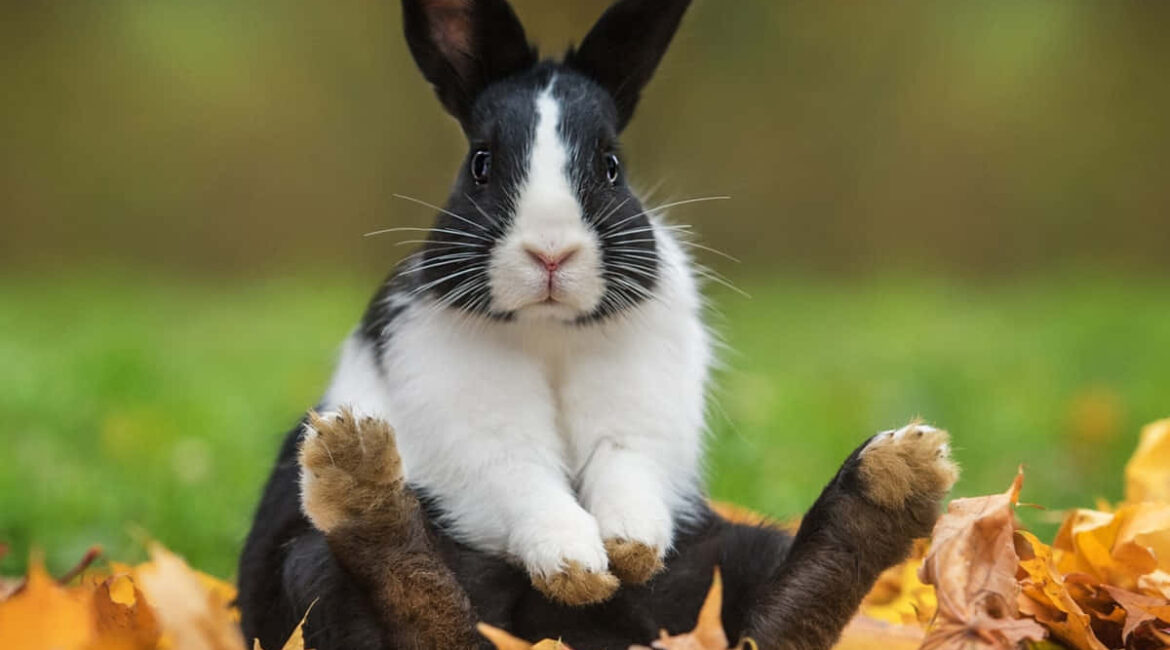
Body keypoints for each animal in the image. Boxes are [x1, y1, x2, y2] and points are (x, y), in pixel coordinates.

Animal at [237, 1, 959, 649]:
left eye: (612, 166)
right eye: (481, 163)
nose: (551, 253)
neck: (550, 330)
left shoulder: (637, 422)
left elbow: (625, 467)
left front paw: (628, 550)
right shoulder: (477, 432)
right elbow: (525, 481)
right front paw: (578, 568)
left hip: (731, 555)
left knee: (776, 619)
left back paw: (894, 478)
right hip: (313, 570)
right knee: (423, 612)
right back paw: (358, 472)